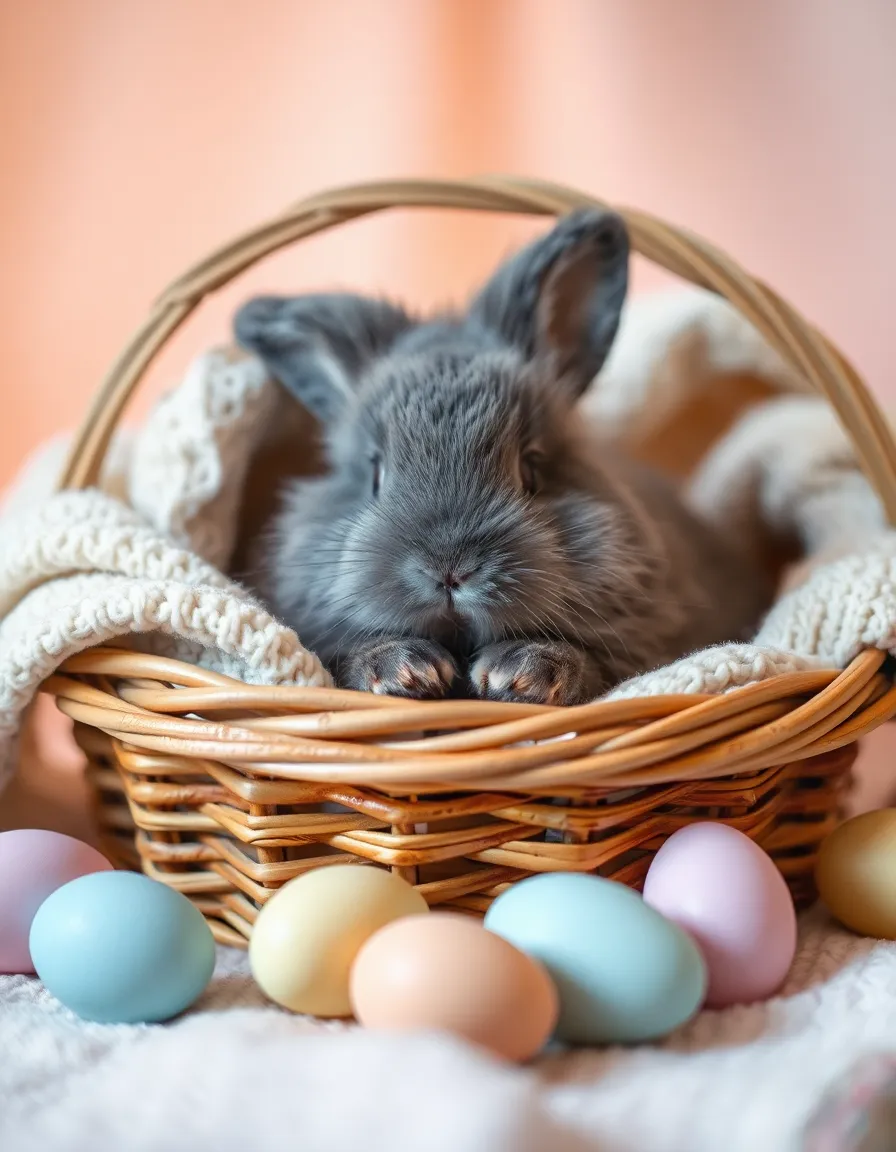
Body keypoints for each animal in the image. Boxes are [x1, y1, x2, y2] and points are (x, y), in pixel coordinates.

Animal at [234, 209, 771, 705]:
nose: (449, 570)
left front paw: (519, 675)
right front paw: (406, 671)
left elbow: (594, 662)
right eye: (375, 475)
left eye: (531, 467)